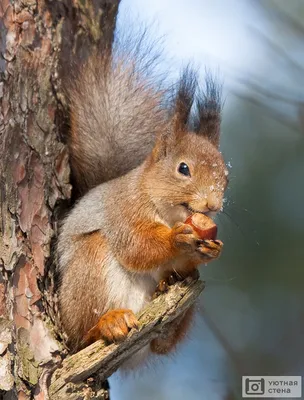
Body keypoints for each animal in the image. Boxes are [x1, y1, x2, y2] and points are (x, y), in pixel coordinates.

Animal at [57, 32, 228, 358]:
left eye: (225, 175)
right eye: (183, 168)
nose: (213, 204)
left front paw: (210, 250)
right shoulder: (123, 209)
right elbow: (137, 246)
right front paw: (176, 239)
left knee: (163, 344)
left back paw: (168, 292)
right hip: (86, 279)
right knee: (82, 338)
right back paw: (107, 323)